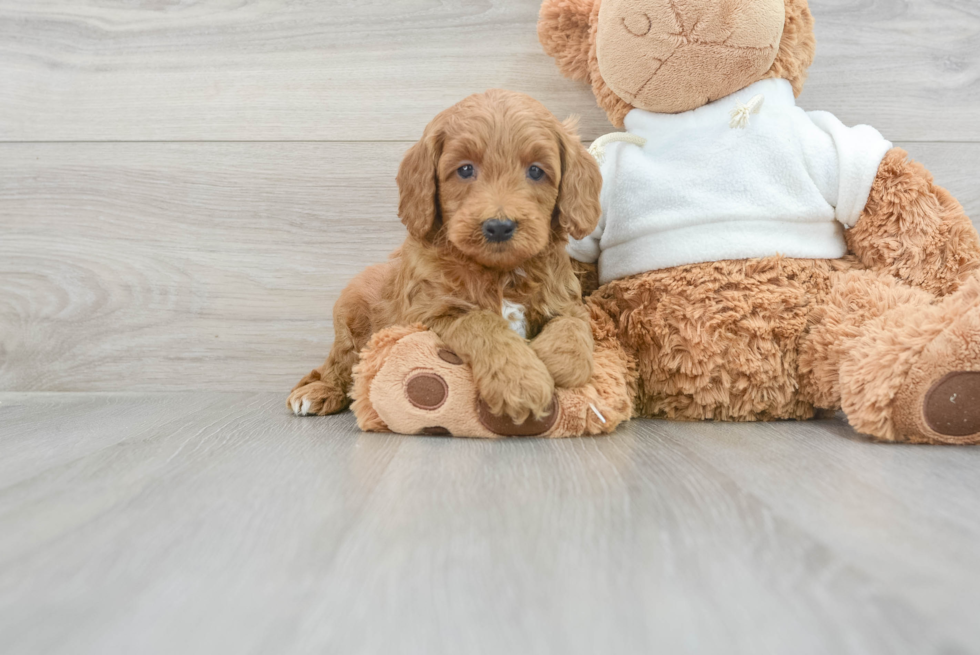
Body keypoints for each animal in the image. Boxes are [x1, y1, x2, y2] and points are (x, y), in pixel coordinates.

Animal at [288, 89, 600, 422]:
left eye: (536, 171)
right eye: (465, 169)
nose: (499, 227)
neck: (500, 273)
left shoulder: (565, 298)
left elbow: (574, 324)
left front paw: (555, 363)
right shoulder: (428, 314)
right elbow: (480, 323)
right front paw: (522, 381)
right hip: (350, 311)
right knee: (340, 361)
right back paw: (318, 391)